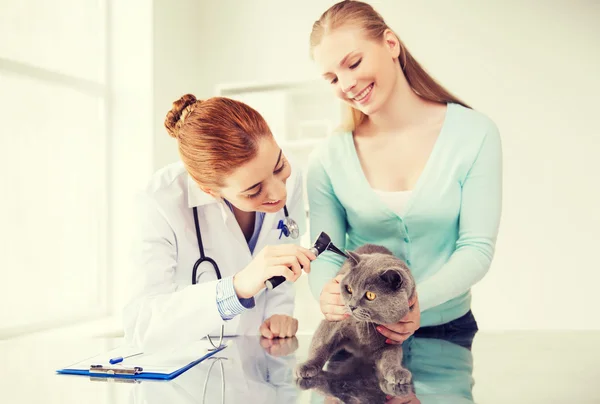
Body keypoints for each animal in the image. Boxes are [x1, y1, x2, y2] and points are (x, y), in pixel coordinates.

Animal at [296, 243, 418, 394]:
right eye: (349, 289)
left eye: (370, 295)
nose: (352, 305)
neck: (363, 326)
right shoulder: (333, 321)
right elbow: (320, 344)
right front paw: (307, 366)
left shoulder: (391, 338)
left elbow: (392, 356)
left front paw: (398, 372)